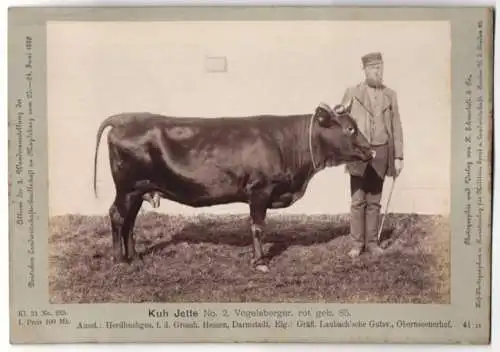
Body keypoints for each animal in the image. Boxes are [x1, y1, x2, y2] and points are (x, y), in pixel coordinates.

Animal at [94, 102, 374, 272]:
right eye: (350, 129)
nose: (371, 150)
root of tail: (125, 118)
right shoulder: (259, 189)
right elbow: (257, 227)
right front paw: (260, 262)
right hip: (127, 188)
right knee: (117, 216)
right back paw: (119, 260)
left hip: (138, 190)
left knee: (130, 221)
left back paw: (133, 257)